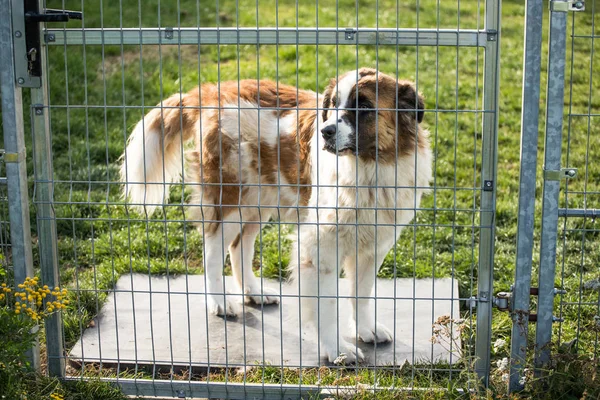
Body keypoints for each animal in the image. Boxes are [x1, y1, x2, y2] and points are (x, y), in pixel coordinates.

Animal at [120, 68, 432, 362]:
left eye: (364, 106)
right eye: (332, 104)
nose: (326, 131)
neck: (369, 169)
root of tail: (212, 90)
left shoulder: (373, 246)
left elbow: (361, 294)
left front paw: (365, 329)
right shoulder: (320, 247)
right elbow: (328, 303)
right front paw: (336, 349)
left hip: (257, 204)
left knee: (239, 247)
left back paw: (254, 293)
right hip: (231, 201)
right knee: (213, 251)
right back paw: (220, 302)